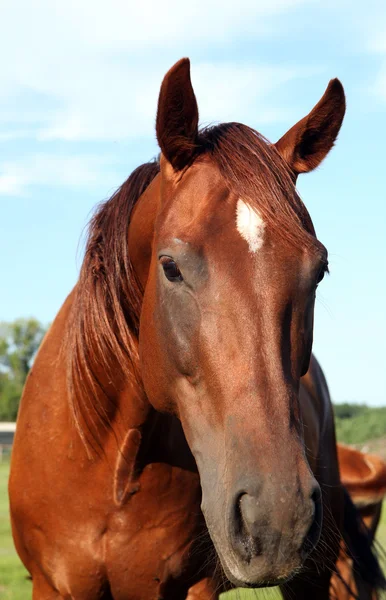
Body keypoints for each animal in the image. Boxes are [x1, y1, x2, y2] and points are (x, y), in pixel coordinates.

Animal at [9, 57, 386, 600]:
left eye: (319, 269)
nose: (277, 517)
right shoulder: (53, 585)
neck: (111, 470)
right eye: (170, 266)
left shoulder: (193, 586)